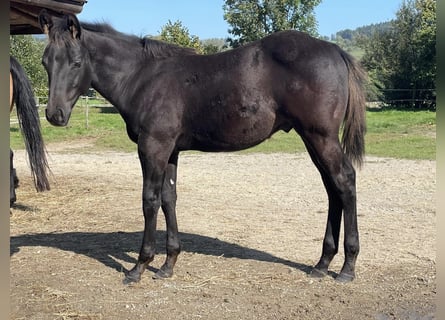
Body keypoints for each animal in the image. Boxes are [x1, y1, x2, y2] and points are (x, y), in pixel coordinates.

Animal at [37, 10, 364, 284]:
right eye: (45, 61)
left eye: (76, 62)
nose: (55, 115)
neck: (142, 77)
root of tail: (334, 50)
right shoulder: (170, 151)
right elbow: (169, 198)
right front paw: (168, 264)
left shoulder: (152, 146)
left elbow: (149, 200)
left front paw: (139, 266)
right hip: (312, 139)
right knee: (332, 188)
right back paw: (322, 264)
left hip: (320, 136)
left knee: (344, 181)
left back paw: (347, 268)